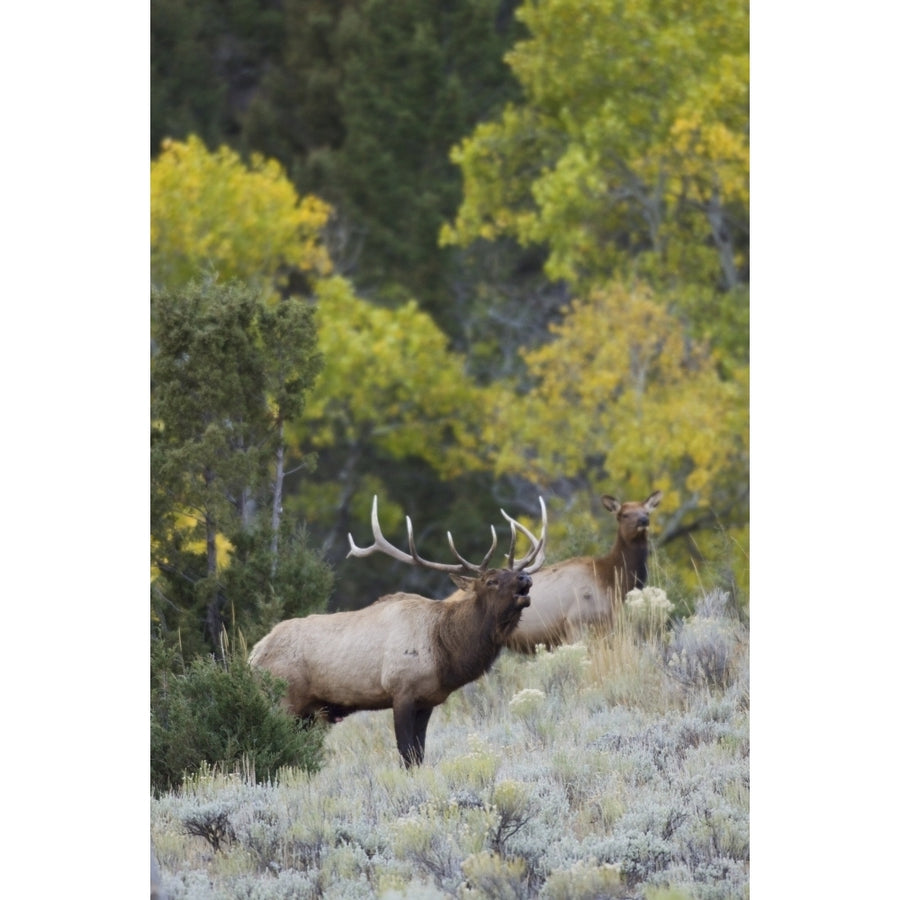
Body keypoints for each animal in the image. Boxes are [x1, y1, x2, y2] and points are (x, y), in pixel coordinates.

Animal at [243, 492, 548, 768]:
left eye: (513, 574)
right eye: (491, 581)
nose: (525, 577)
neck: (445, 651)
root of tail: (253, 654)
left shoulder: (427, 700)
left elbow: (420, 755)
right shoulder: (401, 690)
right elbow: (406, 754)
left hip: (306, 713)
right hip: (282, 701)